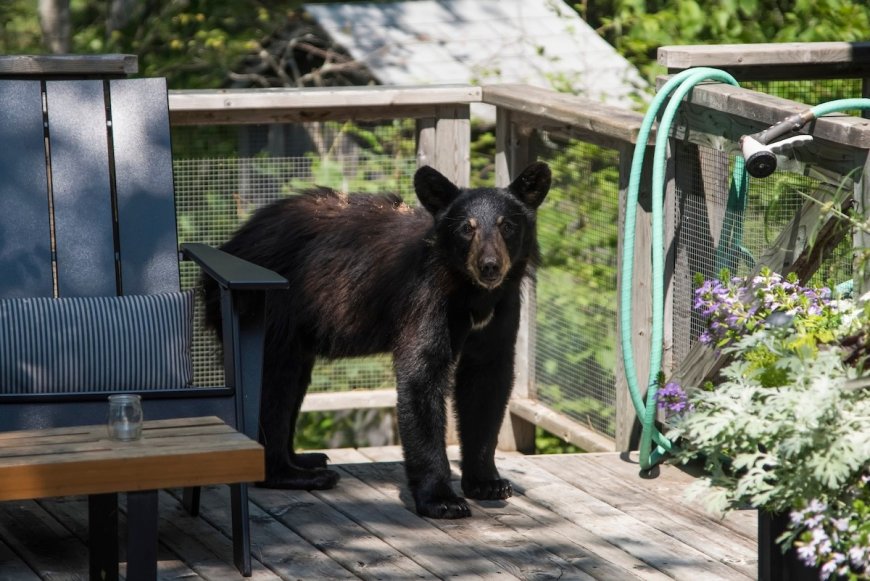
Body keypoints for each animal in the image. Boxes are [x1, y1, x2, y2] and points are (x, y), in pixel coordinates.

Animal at [202, 161, 551, 519]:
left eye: (507, 225)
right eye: (467, 228)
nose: (490, 266)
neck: (472, 293)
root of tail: (232, 244)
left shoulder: (502, 308)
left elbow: (487, 380)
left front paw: (487, 483)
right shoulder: (426, 297)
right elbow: (421, 375)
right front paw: (441, 499)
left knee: (292, 381)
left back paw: (304, 459)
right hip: (270, 309)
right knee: (274, 386)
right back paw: (293, 474)